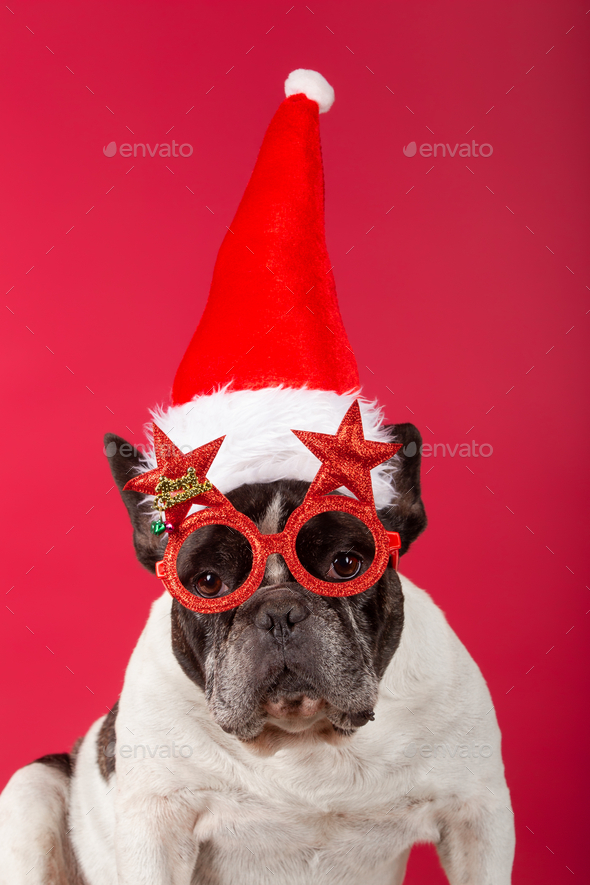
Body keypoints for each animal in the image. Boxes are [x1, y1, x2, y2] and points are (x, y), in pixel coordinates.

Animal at [0, 416, 516, 884]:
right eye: (208, 583)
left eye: (346, 564)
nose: (279, 611)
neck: (302, 737)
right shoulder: (158, 825)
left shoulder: (477, 814)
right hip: (30, 788)